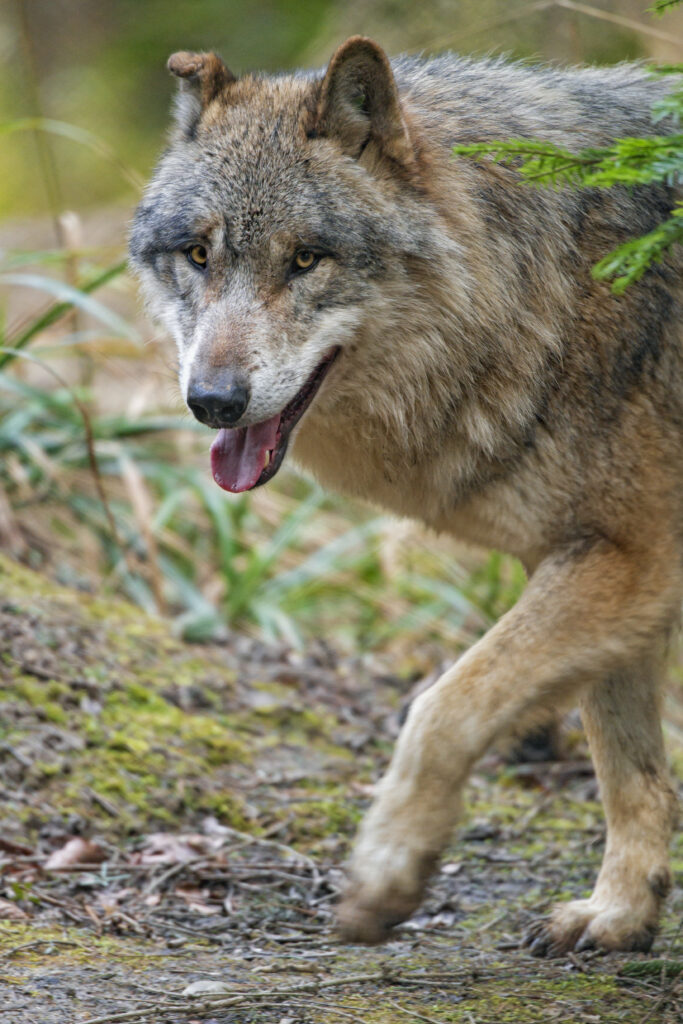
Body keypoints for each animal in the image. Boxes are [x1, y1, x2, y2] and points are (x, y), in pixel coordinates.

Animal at [130, 37, 682, 955]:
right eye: (200, 256)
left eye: (305, 258)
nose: (211, 401)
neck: (555, 284)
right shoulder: (603, 557)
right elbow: (626, 766)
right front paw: (618, 915)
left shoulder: (634, 557)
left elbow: (440, 710)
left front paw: (384, 877)